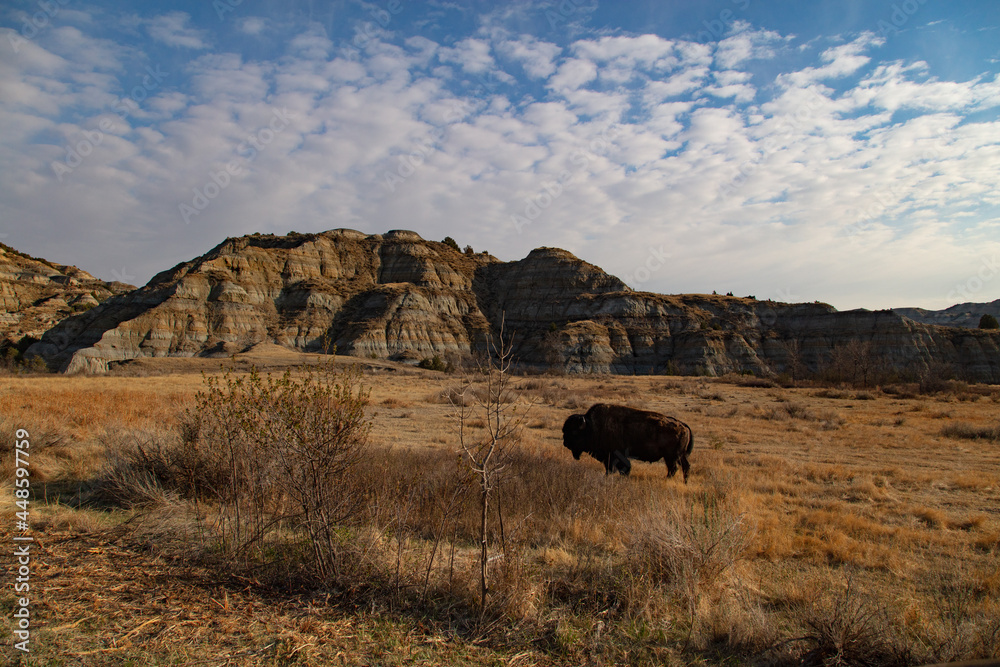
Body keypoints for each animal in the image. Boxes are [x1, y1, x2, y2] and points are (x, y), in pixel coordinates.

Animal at [562, 403, 693, 481]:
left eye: (574, 432)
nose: (565, 443)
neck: (592, 427)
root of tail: (683, 425)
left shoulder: (612, 456)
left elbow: (617, 468)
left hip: (671, 456)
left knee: (673, 469)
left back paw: (666, 480)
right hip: (679, 456)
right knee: (685, 467)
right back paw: (684, 482)